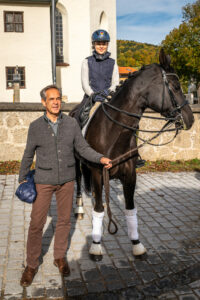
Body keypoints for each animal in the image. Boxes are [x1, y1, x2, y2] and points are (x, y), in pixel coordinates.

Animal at [70, 48, 194, 260]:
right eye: (176, 87)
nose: (191, 119)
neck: (113, 132)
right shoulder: (98, 173)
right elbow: (99, 209)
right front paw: (96, 245)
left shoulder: (130, 175)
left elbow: (130, 209)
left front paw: (136, 244)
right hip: (78, 164)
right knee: (78, 183)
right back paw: (78, 208)